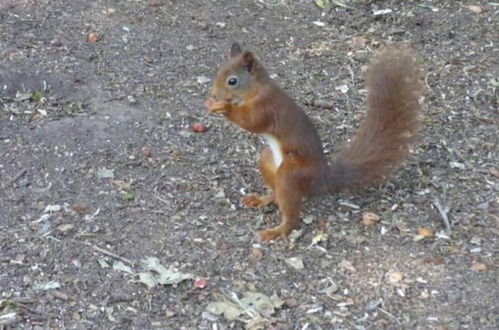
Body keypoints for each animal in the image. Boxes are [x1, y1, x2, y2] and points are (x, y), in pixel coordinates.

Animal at [205, 42, 424, 241]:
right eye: (218, 72)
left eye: (232, 81)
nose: (214, 94)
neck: (257, 89)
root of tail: (322, 177)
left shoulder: (266, 107)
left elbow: (251, 122)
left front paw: (223, 107)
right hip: (268, 160)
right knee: (276, 192)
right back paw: (263, 199)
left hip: (291, 172)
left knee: (291, 214)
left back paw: (277, 231)